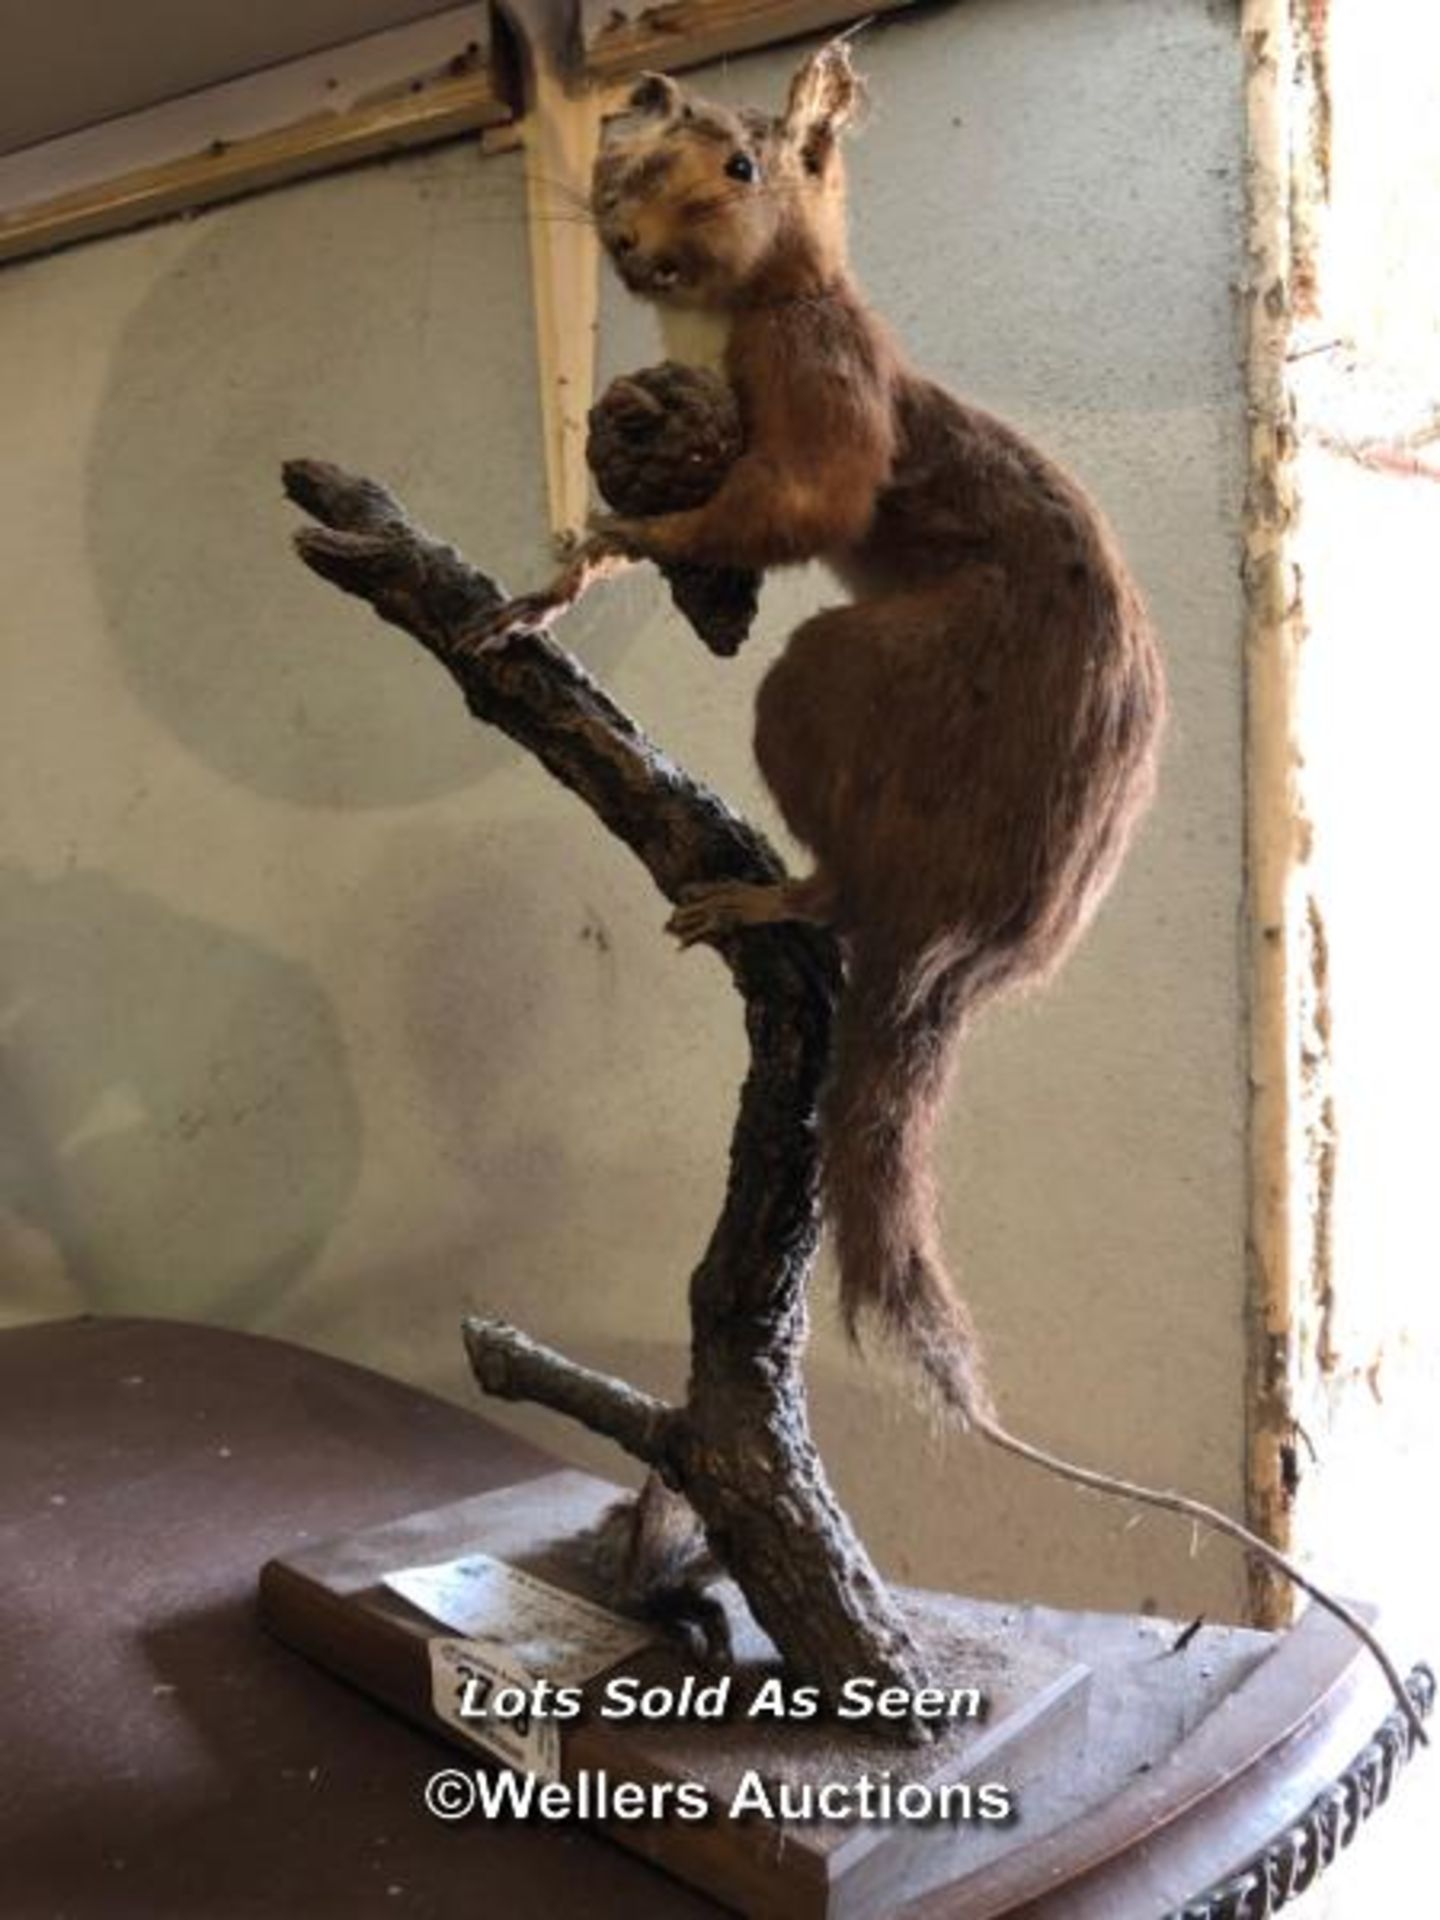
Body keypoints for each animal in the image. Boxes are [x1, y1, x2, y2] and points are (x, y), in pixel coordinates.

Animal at [470, 37, 1420, 1735]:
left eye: (747, 168)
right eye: (630, 147)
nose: (638, 243)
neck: (736, 308)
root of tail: (972, 943)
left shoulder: (821, 366)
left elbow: (806, 502)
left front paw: (617, 533)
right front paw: (570, 561)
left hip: (847, 689)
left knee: (842, 861)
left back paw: (783, 899)